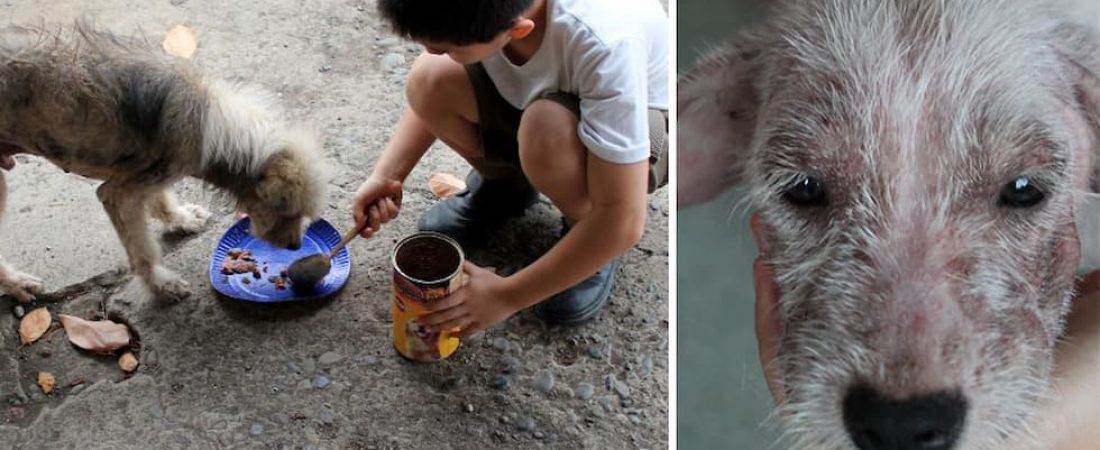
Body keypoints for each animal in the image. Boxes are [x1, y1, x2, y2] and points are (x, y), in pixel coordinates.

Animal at [0, 24, 325, 303]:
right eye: (286, 211)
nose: (296, 246)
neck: (213, 127)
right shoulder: (119, 195)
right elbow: (142, 250)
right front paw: (160, 285)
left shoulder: (150, 177)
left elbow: (162, 201)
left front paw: (181, 219)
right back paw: (18, 283)